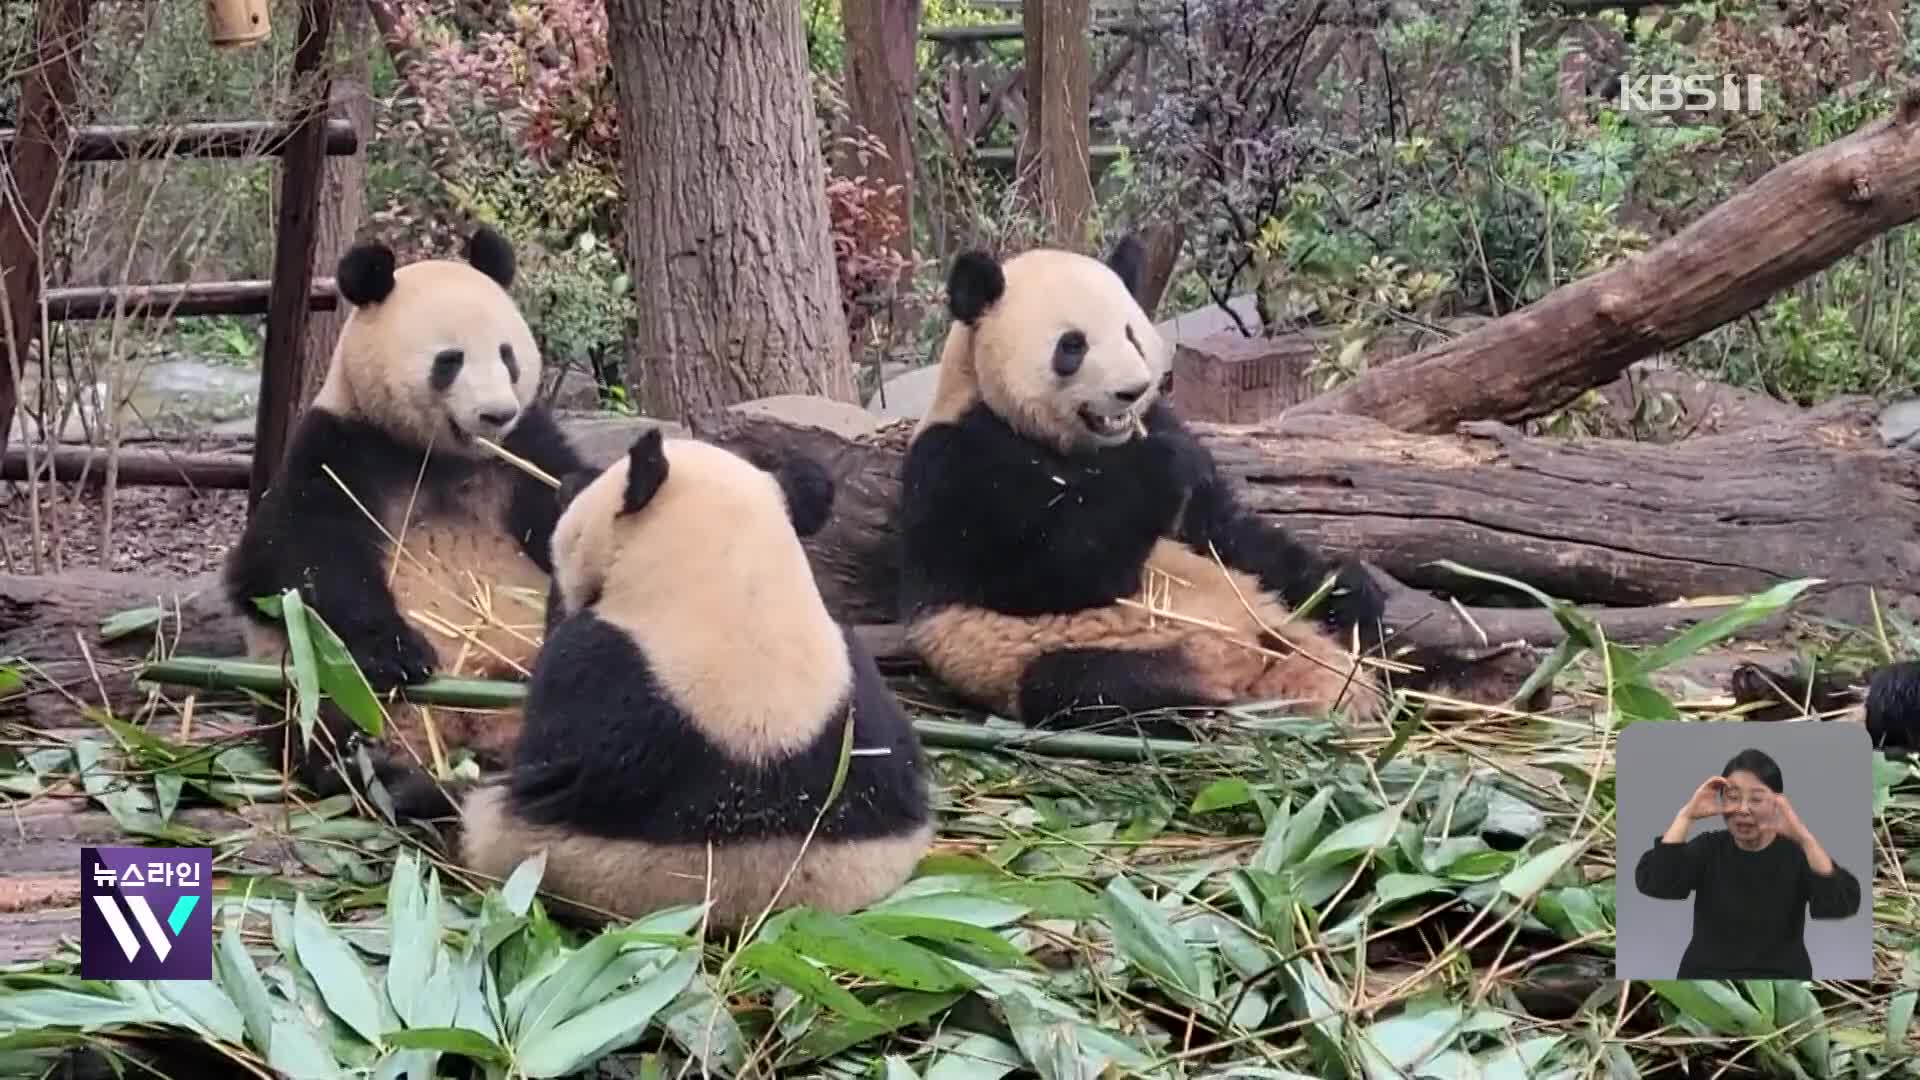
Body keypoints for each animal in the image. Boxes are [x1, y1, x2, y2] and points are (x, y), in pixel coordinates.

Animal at [223, 224, 587, 814]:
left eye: (507, 355)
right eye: (450, 360)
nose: (496, 413)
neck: (437, 457)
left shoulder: (524, 451)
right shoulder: (342, 445)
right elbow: (289, 557)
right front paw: (401, 651)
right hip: (312, 680)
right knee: (325, 715)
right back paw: (381, 773)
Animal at [898, 238, 1528, 730]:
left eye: (1131, 332)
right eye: (1071, 345)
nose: (1132, 391)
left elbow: (1222, 527)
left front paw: (1346, 580)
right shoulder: (958, 464)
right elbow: (1046, 570)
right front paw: (1156, 466)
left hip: (1287, 615)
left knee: (1376, 641)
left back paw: (1490, 678)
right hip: (1045, 659)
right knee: (1092, 686)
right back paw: (1214, 704)